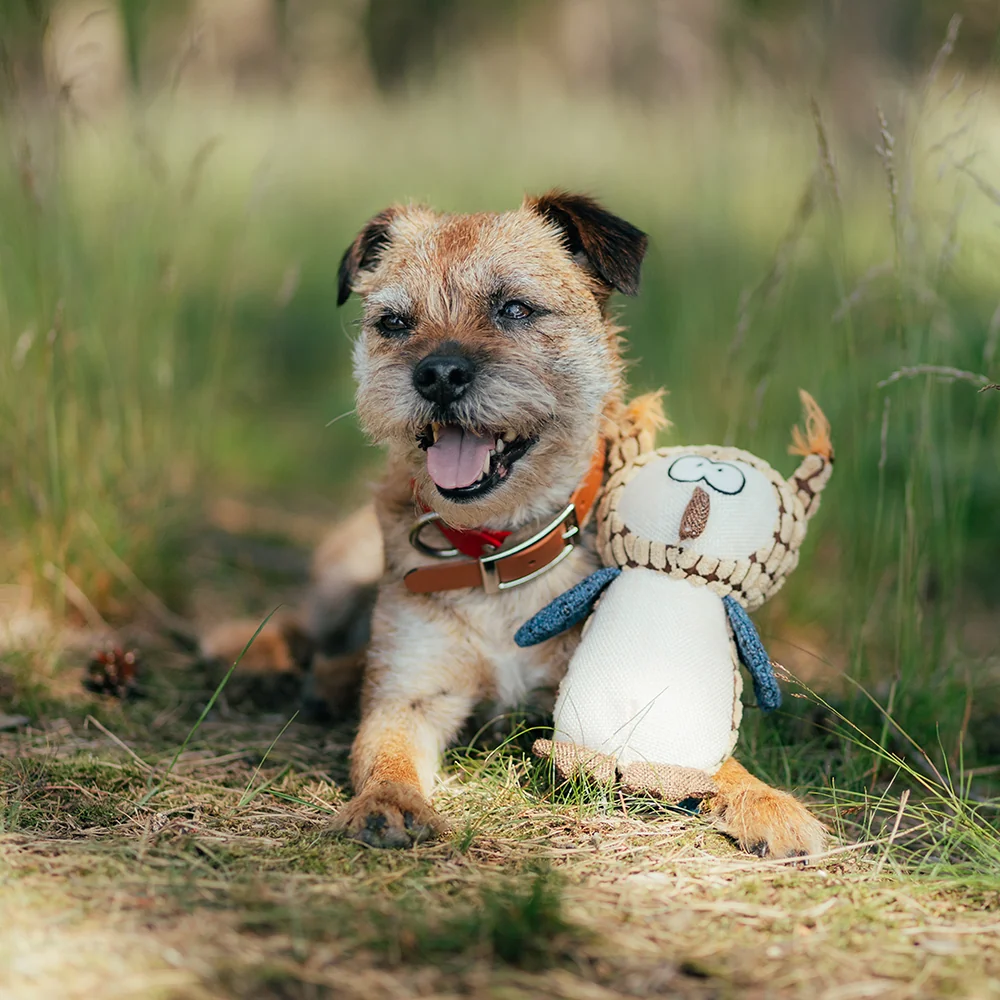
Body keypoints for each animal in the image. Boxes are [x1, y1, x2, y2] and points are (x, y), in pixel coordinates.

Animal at [324, 193, 824, 860]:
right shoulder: (408, 694)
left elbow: (712, 759)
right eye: (395, 323)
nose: (436, 374)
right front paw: (388, 802)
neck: (502, 552)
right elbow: (384, 754)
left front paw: (764, 799)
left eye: (515, 308)